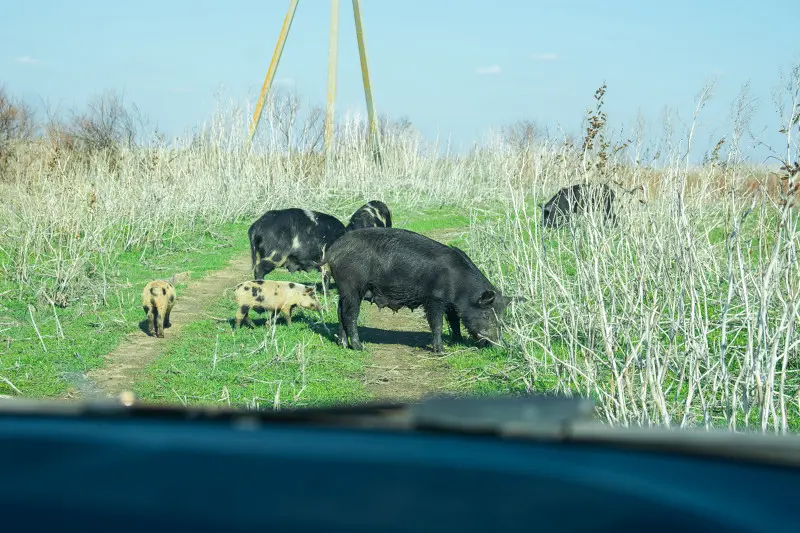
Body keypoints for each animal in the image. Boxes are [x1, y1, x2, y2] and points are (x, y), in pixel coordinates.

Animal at [322, 225, 510, 354]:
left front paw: (457, 341)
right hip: (352, 287)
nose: (498, 345)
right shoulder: (434, 299)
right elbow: (437, 324)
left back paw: (343, 344)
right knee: (350, 315)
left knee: (340, 312)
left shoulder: (451, 304)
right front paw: (441, 351)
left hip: (344, 291)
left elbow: (455, 321)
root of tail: (332, 251)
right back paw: (360, 347)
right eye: (487, 314)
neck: (461, 287)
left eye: (501, 316)